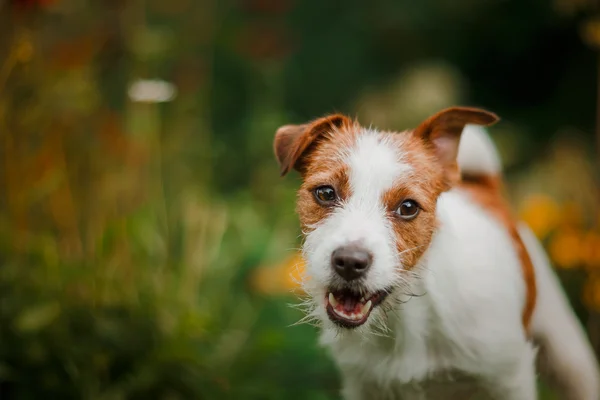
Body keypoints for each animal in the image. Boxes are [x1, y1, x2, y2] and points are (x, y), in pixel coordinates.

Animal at [274, 107, 600, 400]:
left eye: (408, 207)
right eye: (325, 193)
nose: (350, 263)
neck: (406, 317)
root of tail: (483, 189)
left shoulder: (510, 379)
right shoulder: (362, 386)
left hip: (566, 350)